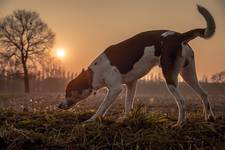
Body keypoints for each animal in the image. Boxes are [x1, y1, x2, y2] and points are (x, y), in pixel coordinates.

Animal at [59, 4, 215, 126]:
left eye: (68, 92)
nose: (59, 106)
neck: (95, 73)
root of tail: (179, 36)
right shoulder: (131, 84)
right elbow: (128, 104)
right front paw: (125, 119)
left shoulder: (115, 89)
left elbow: (102, 107)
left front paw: (91, 120)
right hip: (188, 74)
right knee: (204, 94)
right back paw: (209, 118)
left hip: (170, 77)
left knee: (182, 101)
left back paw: (179, 124)